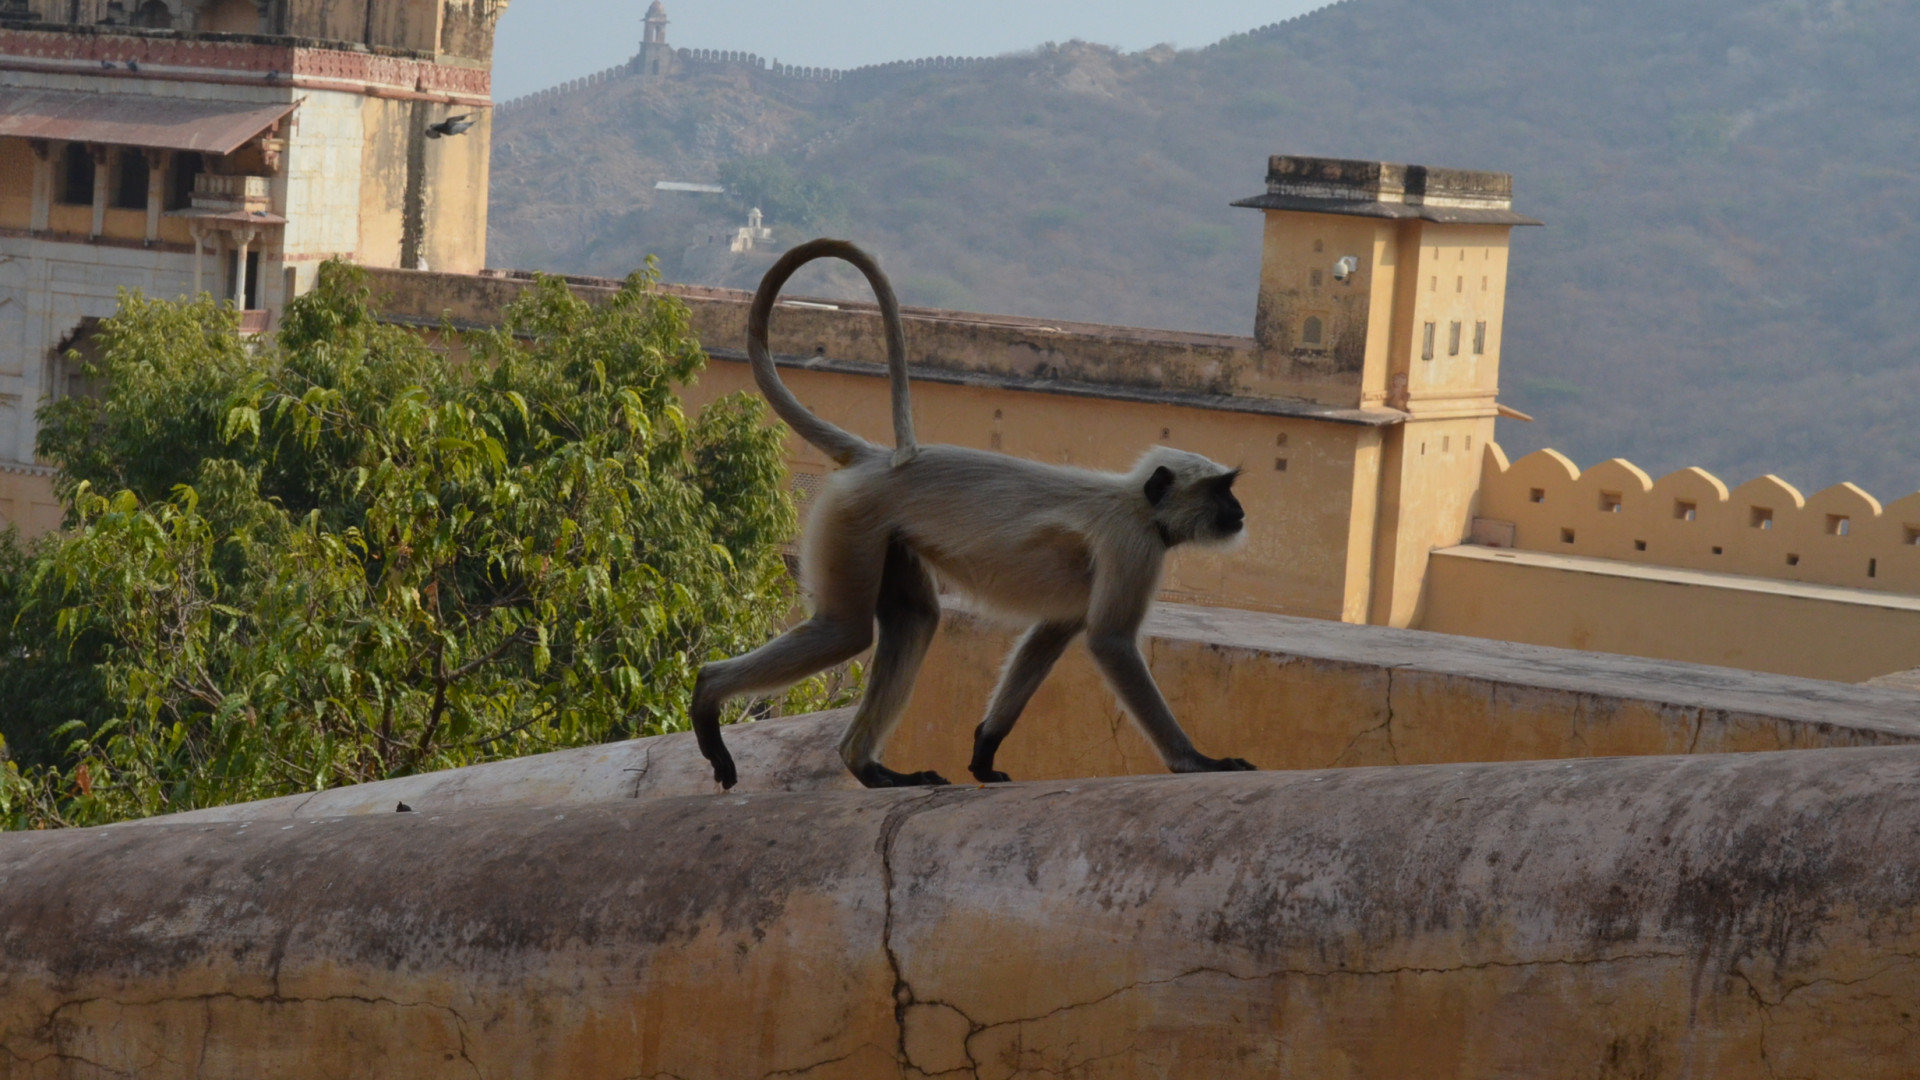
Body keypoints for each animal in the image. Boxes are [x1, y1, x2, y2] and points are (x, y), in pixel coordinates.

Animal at [690, 238, 1257, 790]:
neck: (1136, 501)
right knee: (844, 631)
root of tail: (876, 458)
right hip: (852, 518)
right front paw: (1197, 762)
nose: (1240, 511)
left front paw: (984, 750)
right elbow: (1110, 642)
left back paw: (868, 767)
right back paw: (709, 691)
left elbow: (1052, 633)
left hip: (882, 532)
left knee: (915, 620)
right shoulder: (1133, 545)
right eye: (1221, 491)